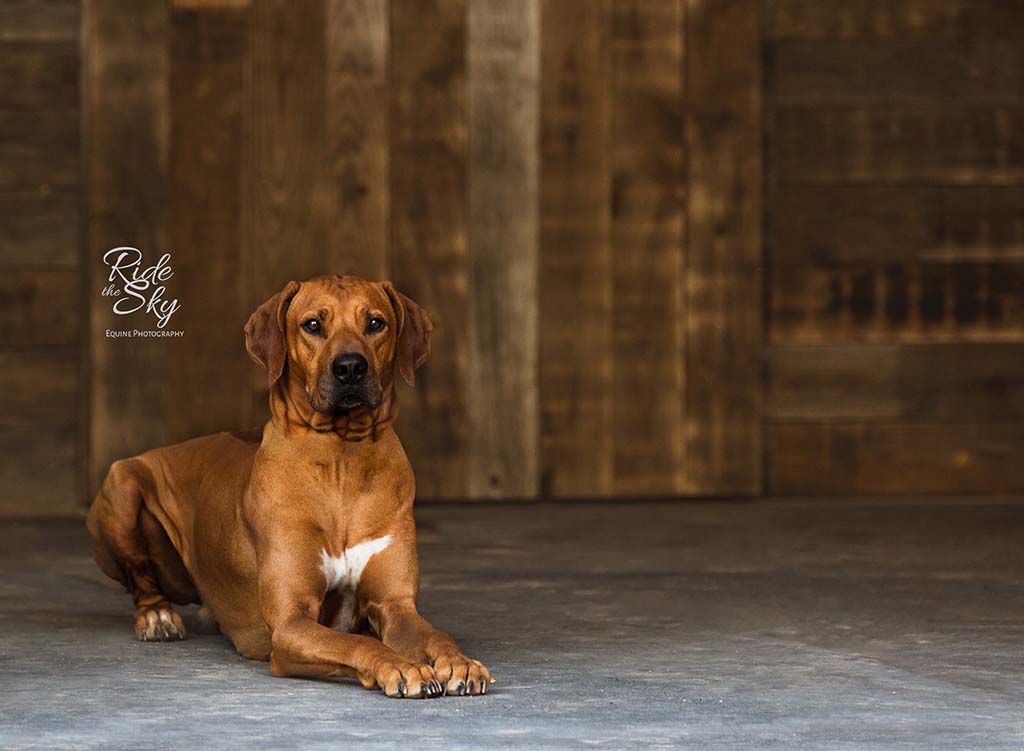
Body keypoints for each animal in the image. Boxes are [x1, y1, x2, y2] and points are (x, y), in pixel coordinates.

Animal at [86, 274, 493, 696]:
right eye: (312, 324)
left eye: (375, 323)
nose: (351, 367)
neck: (341, 459)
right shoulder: (290, 623)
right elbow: (357, 642)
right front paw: (401, 666)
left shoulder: (395, 605)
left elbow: (435, 634)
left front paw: (459, 662)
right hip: (122, 483)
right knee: (142, 581)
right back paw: (157, 617)